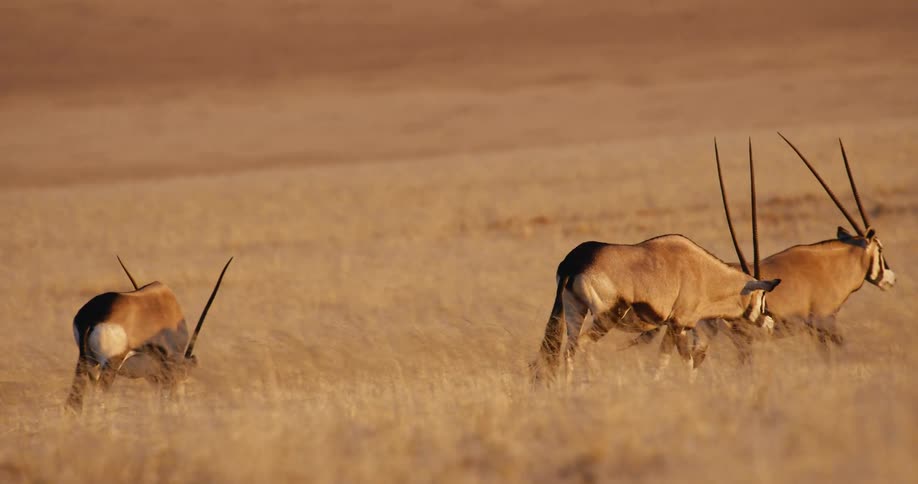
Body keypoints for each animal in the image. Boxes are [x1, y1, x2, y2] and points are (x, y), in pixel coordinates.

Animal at [66, 256, 233, 413]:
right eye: (184, 375)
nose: (180, 404)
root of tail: (93, 315)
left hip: (88, 361)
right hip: (111, 362)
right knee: (99, 394)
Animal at [531, 142, 780, 383]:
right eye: (762, 297)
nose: (770, 324)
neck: (705, 273)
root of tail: (574, 262)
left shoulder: (675, 327)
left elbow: (675, 362)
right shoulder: (678, 324)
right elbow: (675, 363)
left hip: (575, 310)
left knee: (569, 350)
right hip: (605, 316)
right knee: (584, 347)